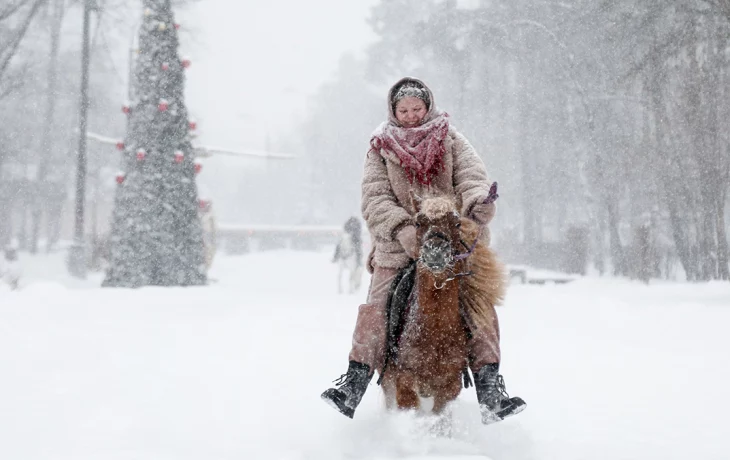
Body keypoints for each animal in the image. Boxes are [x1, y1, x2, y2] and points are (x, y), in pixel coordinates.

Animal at [378, 192, 504, 416]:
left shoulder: (449, 386)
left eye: (456, 223)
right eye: (418, 222)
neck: (434, 328)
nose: (435, 251)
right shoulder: (405, 381)